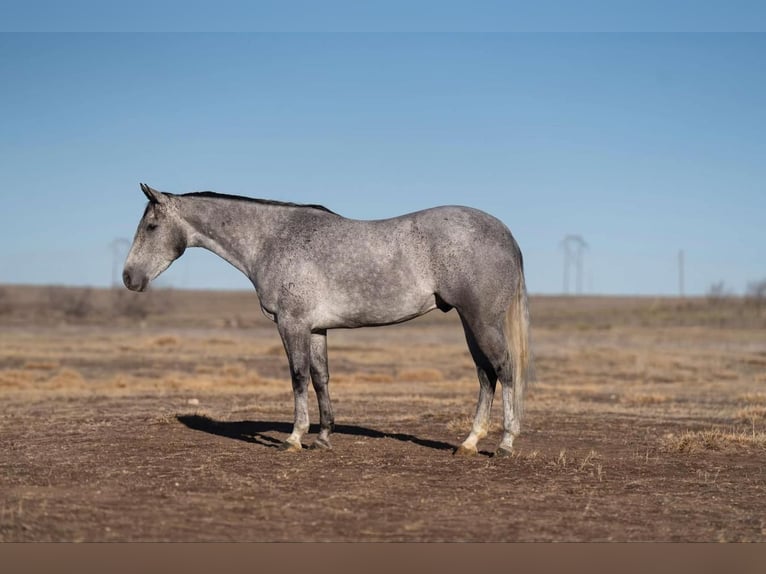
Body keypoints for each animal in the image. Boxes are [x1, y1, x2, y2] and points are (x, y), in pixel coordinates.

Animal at [126, 184, 536, 460]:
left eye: (151, 226)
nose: (129, 278)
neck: (273, 239)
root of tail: (505, 233)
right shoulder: (316, 329)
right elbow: (321, 377)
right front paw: (323, 437)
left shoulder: (291, 324)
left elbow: (298, 377)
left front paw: (294, 438)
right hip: (470, 323)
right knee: (486, 375)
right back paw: (469, 442)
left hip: (482, 321)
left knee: (504, 370)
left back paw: (505, 443)